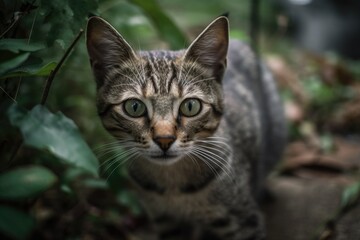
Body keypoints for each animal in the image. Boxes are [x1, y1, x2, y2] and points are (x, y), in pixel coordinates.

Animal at [85, 14, 286, 240]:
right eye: (134, 107)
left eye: (190, 106)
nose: (164, 139)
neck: (172, 185)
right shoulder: (166, 222)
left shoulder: (244, 221)